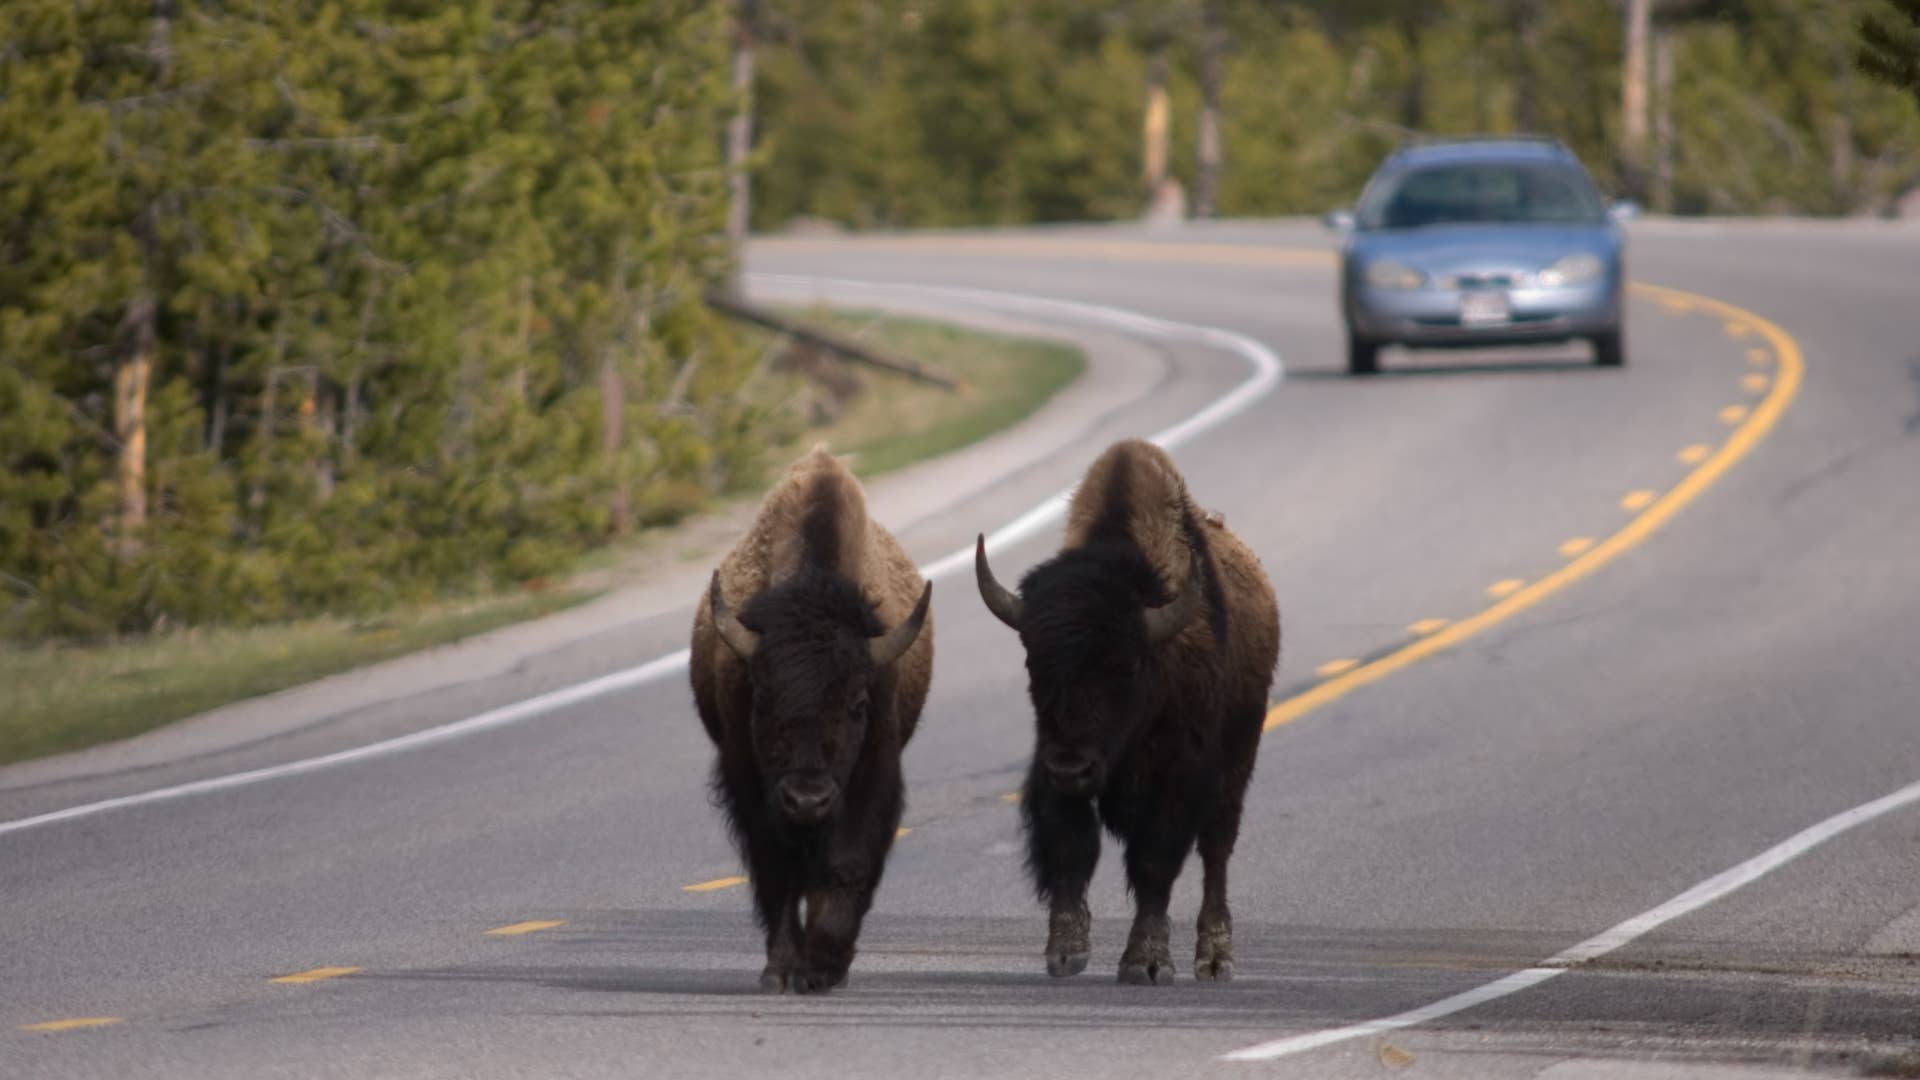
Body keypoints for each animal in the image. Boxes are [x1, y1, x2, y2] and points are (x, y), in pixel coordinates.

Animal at [690, 447, 933, 993]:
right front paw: (783, 971)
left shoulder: (872, 772)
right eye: (761, 696)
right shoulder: (749, 783)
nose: (806, 798)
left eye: (858, 703)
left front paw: (824, 964)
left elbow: (848, 861)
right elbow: (776, 871)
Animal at [975, 439, 1279, 984]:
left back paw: (1214, 958)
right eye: (1033, 659)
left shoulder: (1179, 777)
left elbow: (1154, 862)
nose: (1072, 767)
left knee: (1216, 850)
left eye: (1127, 664)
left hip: (1238, 761)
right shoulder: (1051, 763)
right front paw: (1065, 953)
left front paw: (1146, 962)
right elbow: (1071, 845)